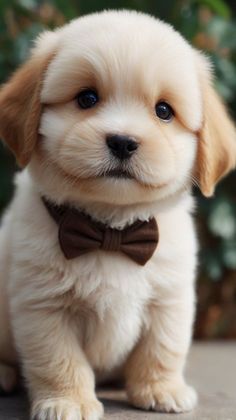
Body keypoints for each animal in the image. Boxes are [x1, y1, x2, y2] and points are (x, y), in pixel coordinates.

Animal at [0, 9, 236, 420]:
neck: (111, 228)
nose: (123, 142)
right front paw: (68, 401)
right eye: (87, 98)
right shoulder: (43, 305)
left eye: (163, 111)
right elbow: (59, 359)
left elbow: (163, 347)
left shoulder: (170, 298)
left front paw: (162, 388)